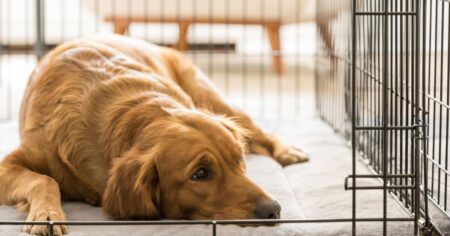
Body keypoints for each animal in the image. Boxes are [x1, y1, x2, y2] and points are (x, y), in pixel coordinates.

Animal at [0, 33, 308, 236]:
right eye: (200, 173)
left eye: (239, 159)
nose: (273, 210)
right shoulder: (7, 166)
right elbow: (44, 179)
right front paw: (47, 214)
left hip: (212, 97)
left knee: (260, 132)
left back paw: (288, 151)